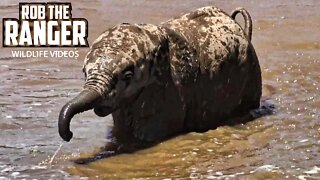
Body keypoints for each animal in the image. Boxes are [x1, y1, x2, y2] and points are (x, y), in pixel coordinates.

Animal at [58, 5, 262, 158]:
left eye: (128, 76)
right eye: (84, 72)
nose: (69, 135)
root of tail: (240, 27)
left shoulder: (163, 89)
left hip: (250, 73)